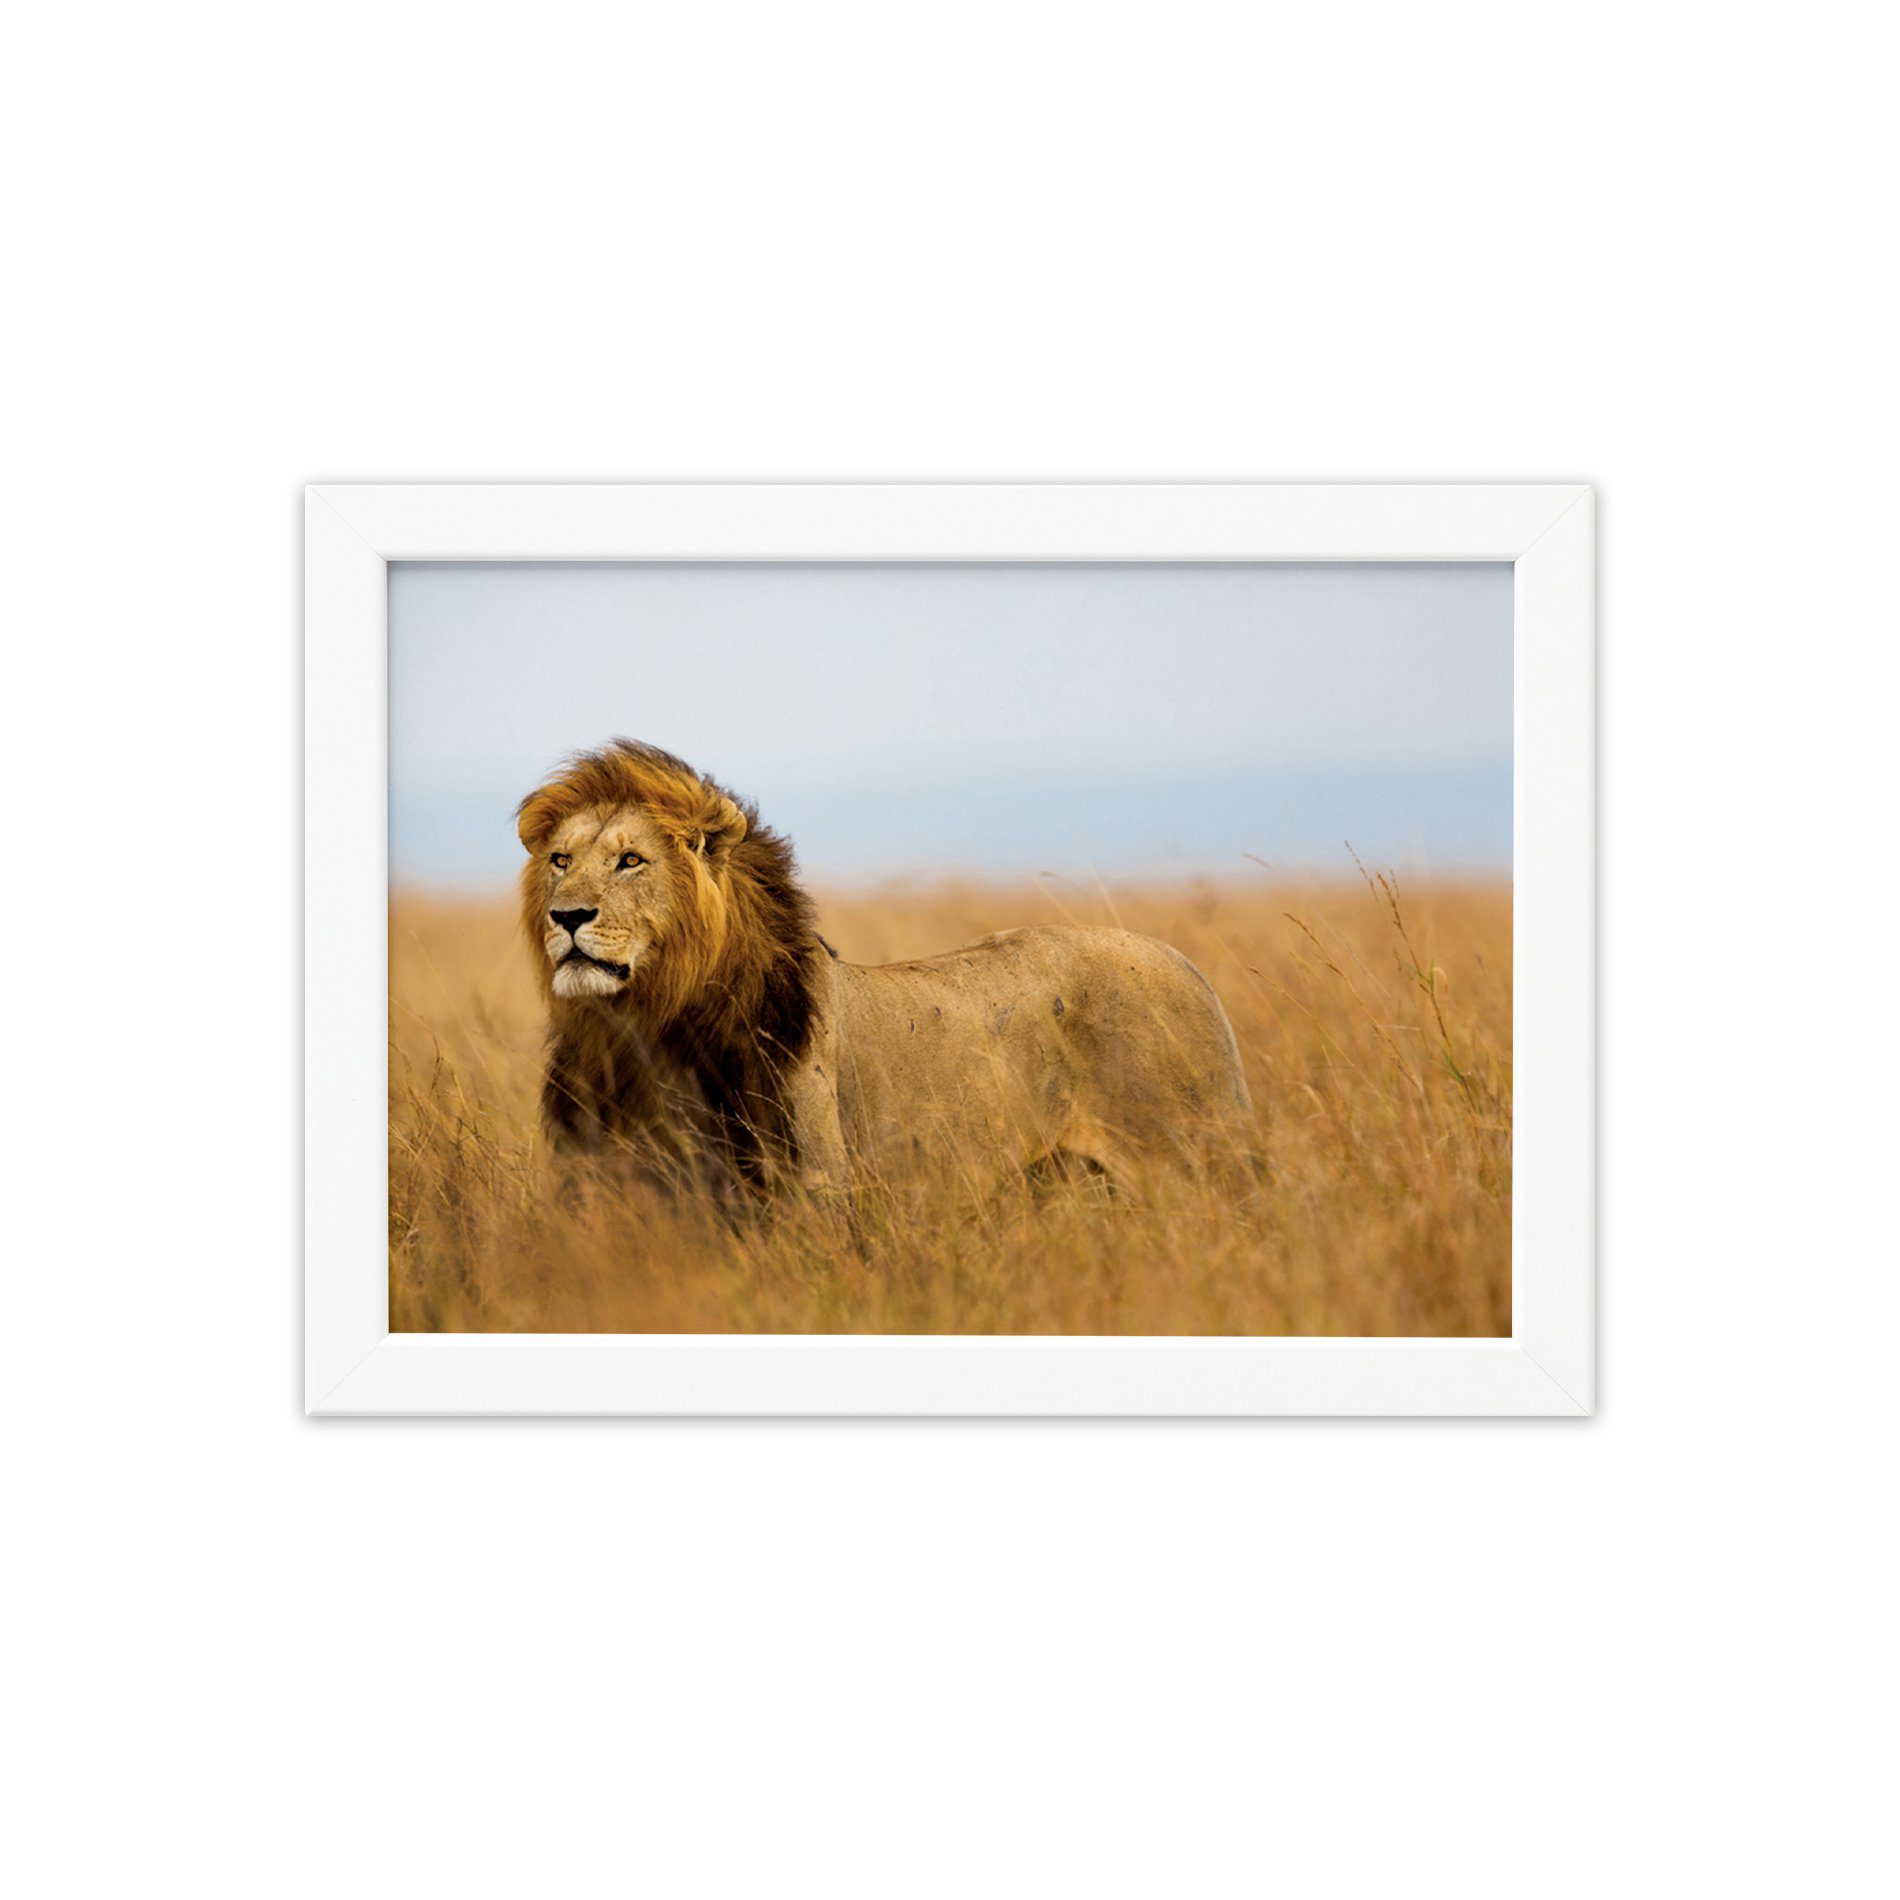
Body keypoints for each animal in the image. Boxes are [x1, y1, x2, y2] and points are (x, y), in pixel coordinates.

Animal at [516, 740, 1254, 1200]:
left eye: (630, 860)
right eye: (560, 860)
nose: (567, 916)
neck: (642, 1028)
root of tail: (1187, 965)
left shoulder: (811, 1188)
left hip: (1197, 1166)